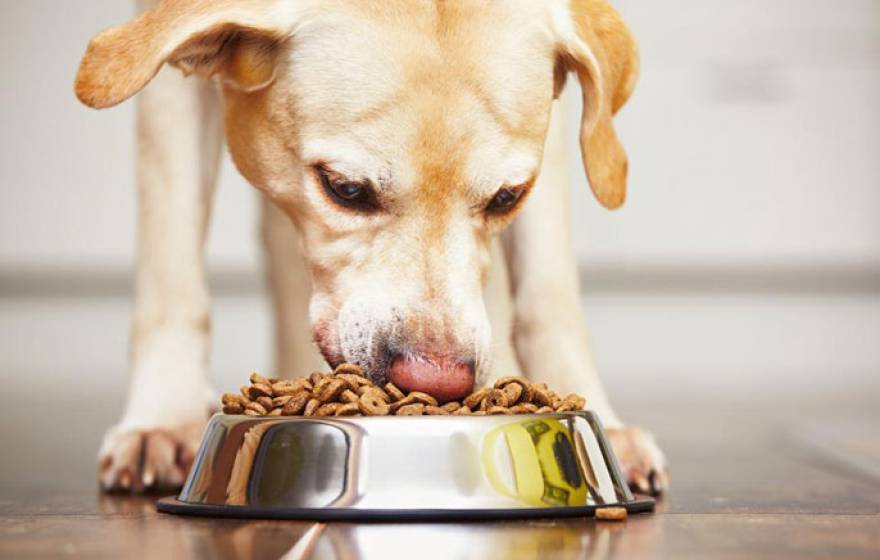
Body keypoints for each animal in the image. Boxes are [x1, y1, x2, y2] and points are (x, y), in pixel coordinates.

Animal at [75, 0, 668, 494]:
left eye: (507, 197)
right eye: (344, 189)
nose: (437, 380)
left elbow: (550, 292)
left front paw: (597, 417)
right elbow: (171, 269)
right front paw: (164, 418)